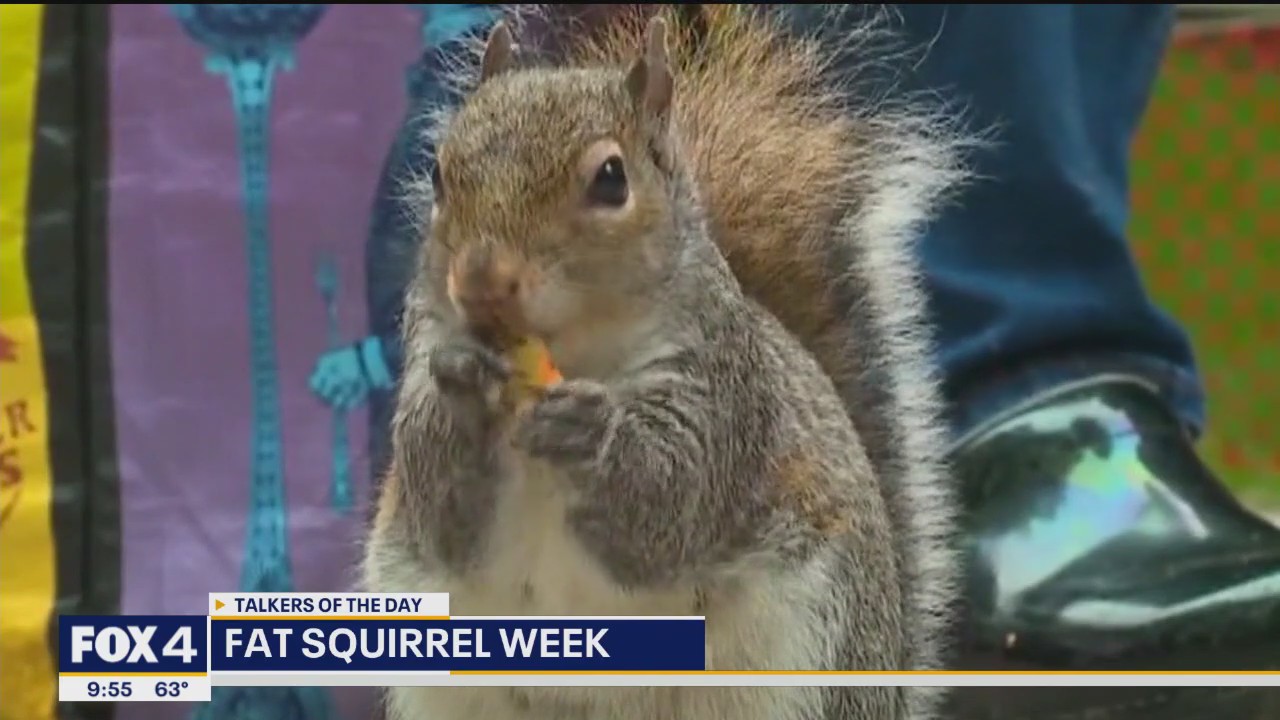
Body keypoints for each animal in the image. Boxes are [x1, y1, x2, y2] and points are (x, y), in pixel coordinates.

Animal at [364, 5, 967, 720]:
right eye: (437, 174)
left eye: (610, 179)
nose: (481, 279)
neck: (571, 350)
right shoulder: (424, 360)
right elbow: (440, 507)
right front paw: (462, 387)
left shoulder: (725, 396)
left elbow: (670, 502)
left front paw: (590, 432)